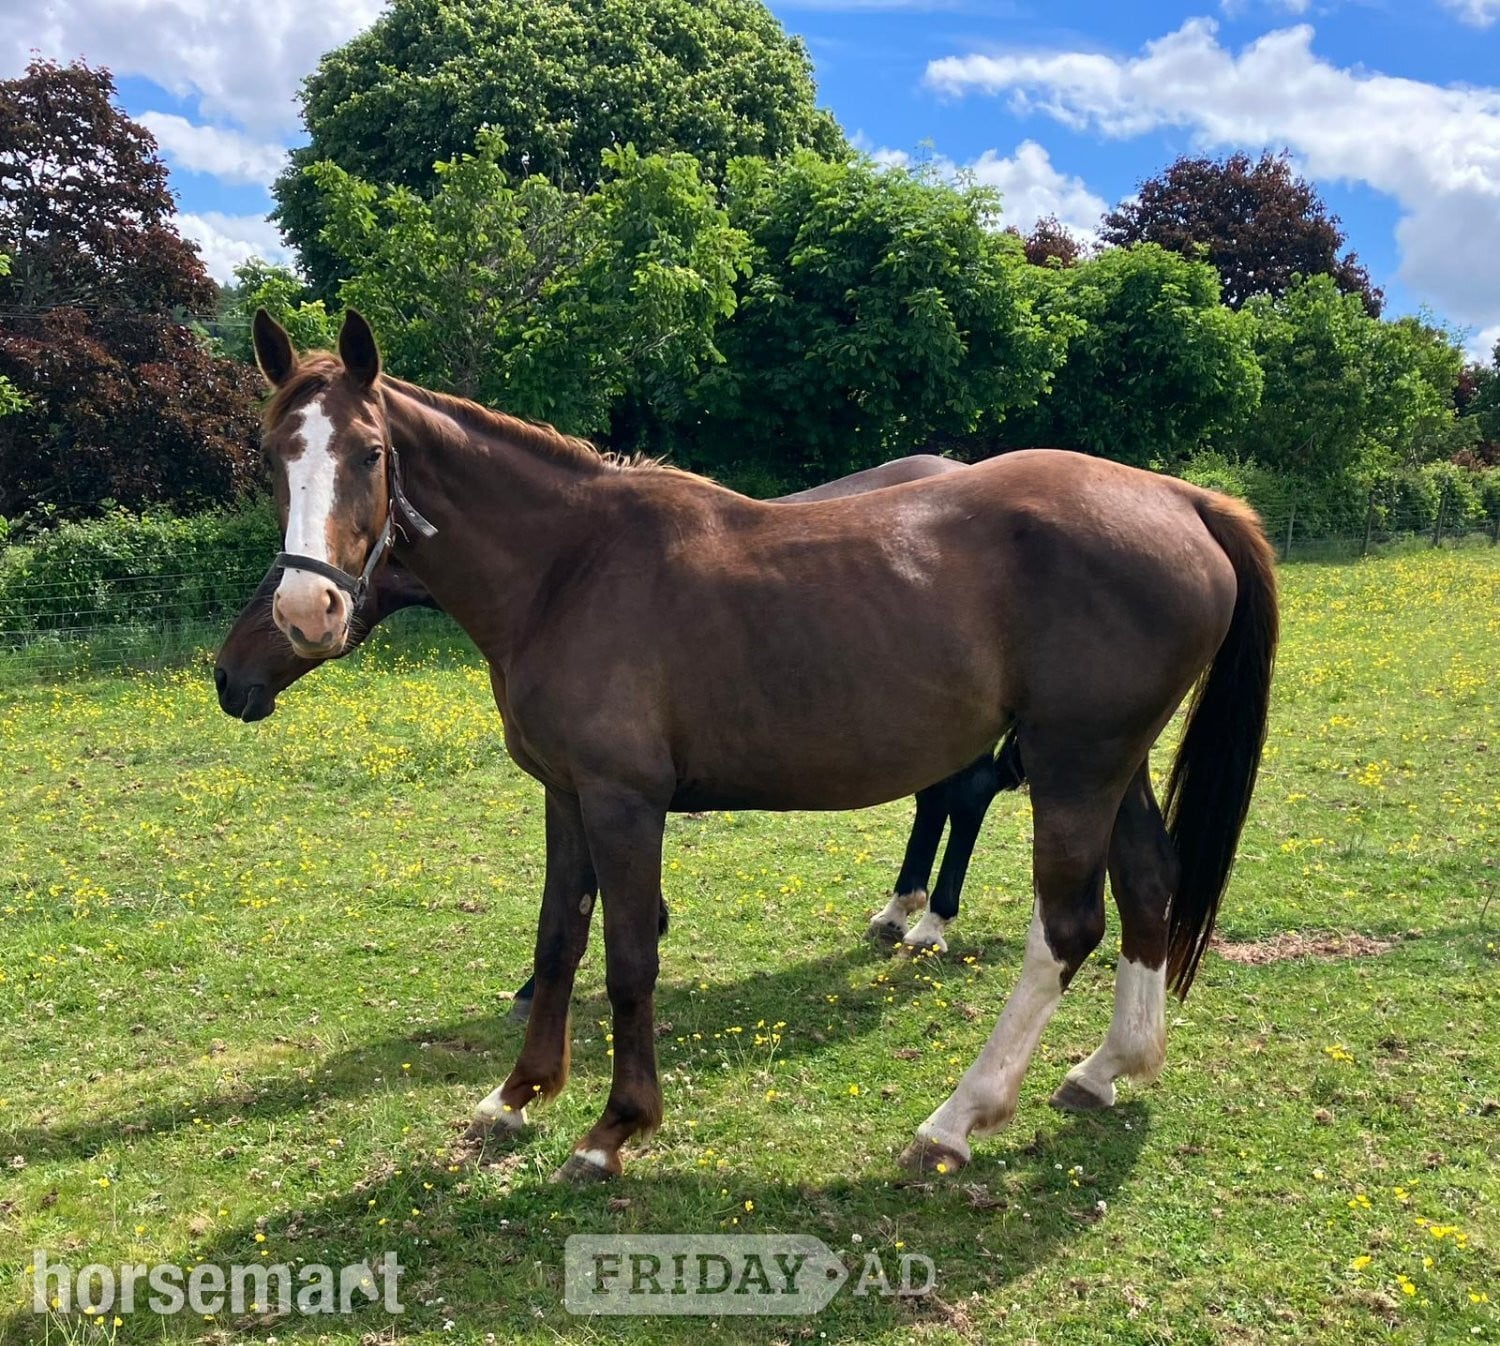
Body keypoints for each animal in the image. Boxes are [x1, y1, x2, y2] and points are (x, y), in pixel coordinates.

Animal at [246, 309, 1277, 1181]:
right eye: (272, 456)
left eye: (371, 452)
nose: (307, 610)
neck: (570, 567)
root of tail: (1182, 499)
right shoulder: (567, 793)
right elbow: (557, 938)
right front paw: (517, 1095)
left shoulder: (625, 802)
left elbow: (629, 957)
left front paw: (614, 1128)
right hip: (1112, 765)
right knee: (1149, 885)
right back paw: (1107, 1067)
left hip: (1074, 767)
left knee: (1067, 927)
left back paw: (958, 1117)